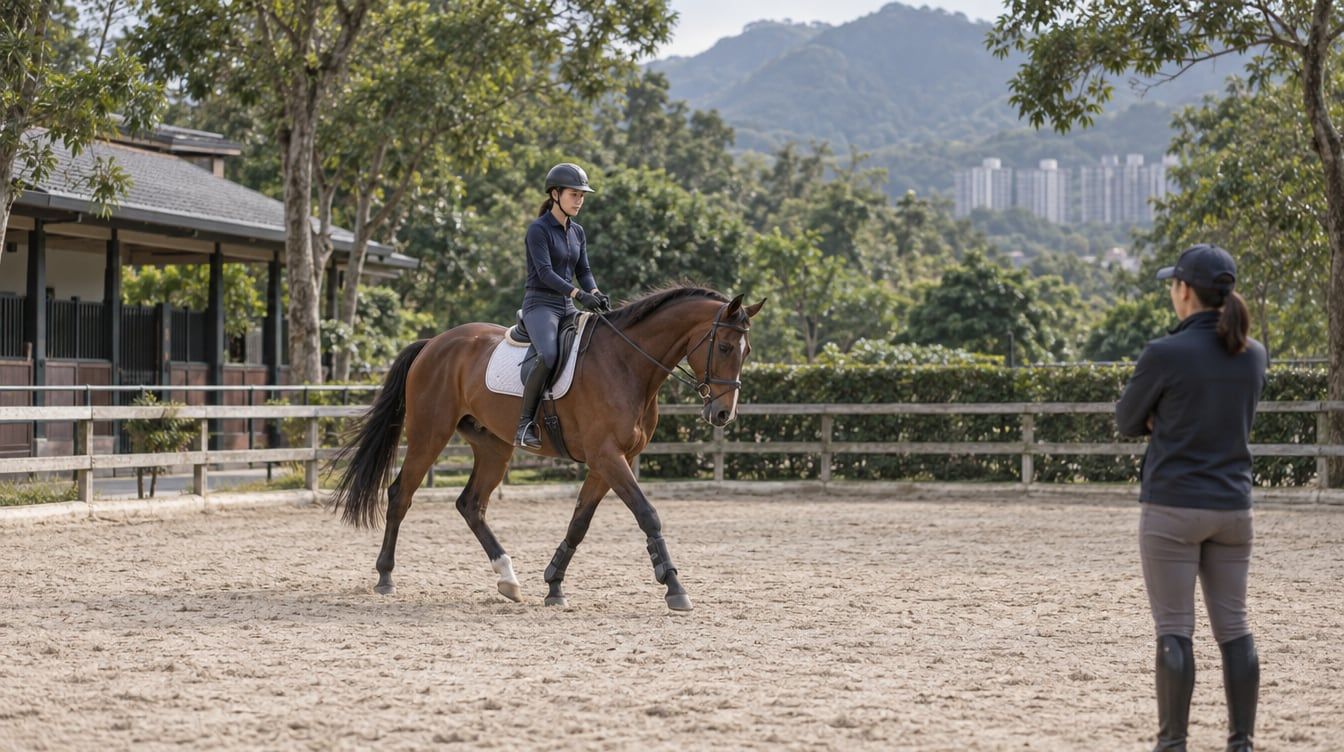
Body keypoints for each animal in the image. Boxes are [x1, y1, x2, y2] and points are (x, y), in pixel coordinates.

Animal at [328, 286, 765, 611]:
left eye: (746, 351)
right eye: (725, 347)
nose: (723, 414)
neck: (627, 363)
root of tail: (434, 342)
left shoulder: (608, 461)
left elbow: (579, 522)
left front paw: (554, 584)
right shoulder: (608, 457)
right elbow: (648, 514)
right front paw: (674, 585)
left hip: (493, 446)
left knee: (471, 504)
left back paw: (509, 580)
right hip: (429, 433)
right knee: (400, 494)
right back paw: (385, 576)